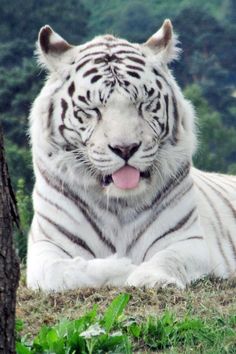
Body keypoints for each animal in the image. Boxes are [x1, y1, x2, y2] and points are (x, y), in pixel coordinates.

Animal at [26, 18, 236, 290]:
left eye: (143, 104)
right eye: (93, 109)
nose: (125, 148)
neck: (119, 203)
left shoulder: (187, 240)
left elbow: (169, 258)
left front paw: (152, 278)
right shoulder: (45, 246)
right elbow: (62, 271)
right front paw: (123, 266)